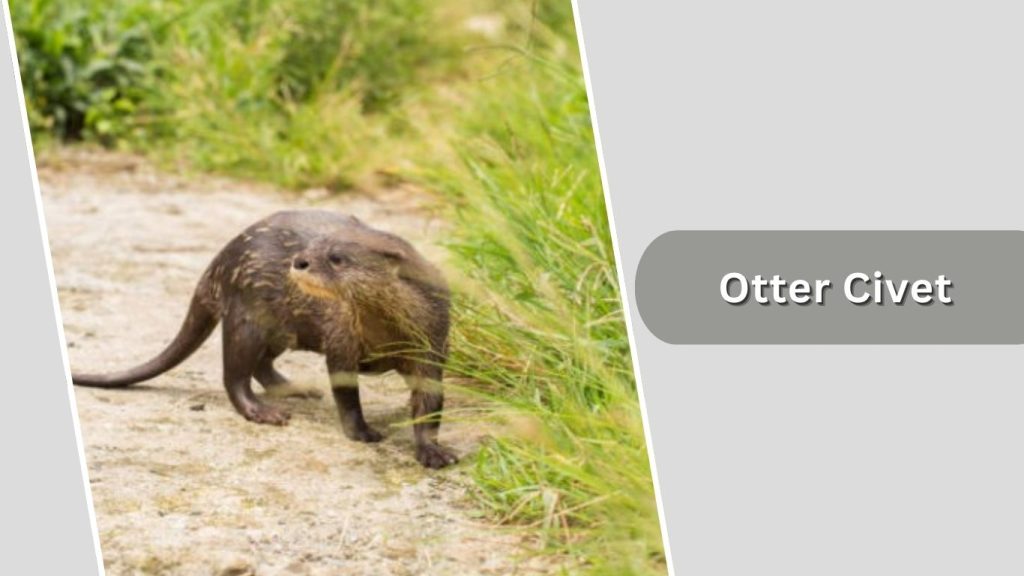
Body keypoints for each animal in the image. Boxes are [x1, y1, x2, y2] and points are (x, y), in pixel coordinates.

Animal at [73, 210, 457, 469]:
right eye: (314, 245)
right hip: (248, 317)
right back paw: (262, 411)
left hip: (281, 330)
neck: (388, 333)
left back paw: (295, 388)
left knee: (262, 364)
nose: (299, 260)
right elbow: (346, 394)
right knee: (235, 373)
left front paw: (433, 451)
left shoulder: (432, 342)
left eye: (336, 258)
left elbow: (430, 402)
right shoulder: (342, 340)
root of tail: (219, 263)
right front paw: (362, 432)